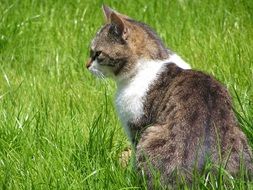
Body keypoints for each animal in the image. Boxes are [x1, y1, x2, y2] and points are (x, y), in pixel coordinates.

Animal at [86, 4, 252, 189]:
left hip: (150, 135)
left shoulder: (136, 125)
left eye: (97, 53)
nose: (86, 65)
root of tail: (205, 176)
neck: (154, 61)